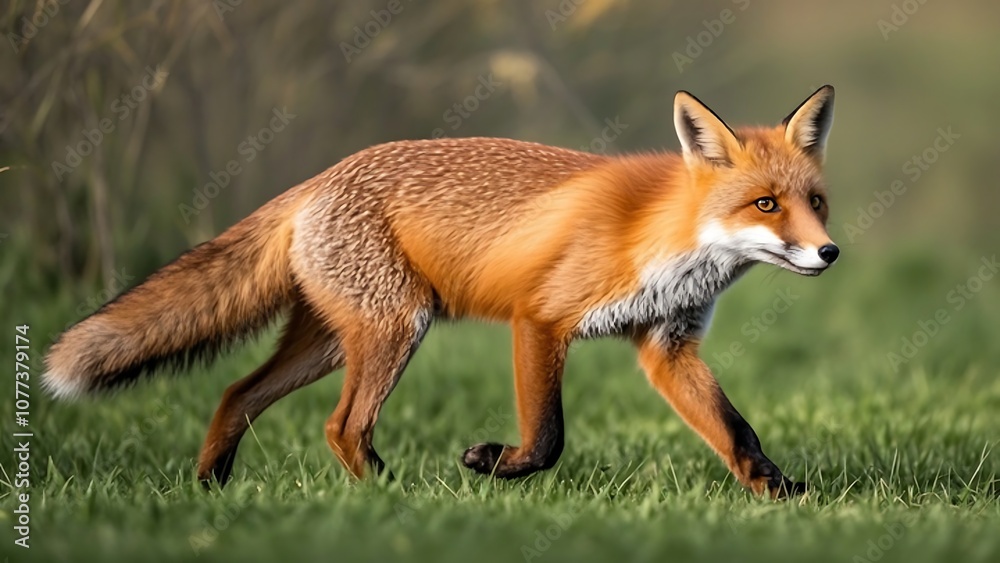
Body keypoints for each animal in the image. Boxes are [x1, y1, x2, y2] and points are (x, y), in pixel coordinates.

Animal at [43, 85, 838, 498]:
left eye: (816, 202)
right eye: (766, 205)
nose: (830, 252)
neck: (660, 233)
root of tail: (316, 181)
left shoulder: (667, 346)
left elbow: (737, 431)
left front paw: (780, 496)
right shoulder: (540, 320)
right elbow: (547, 437)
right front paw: (495, 465)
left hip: (332, 341)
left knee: (237, 392)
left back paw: (210, 487)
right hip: (397, 326)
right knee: (340, 426)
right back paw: (392, 496)